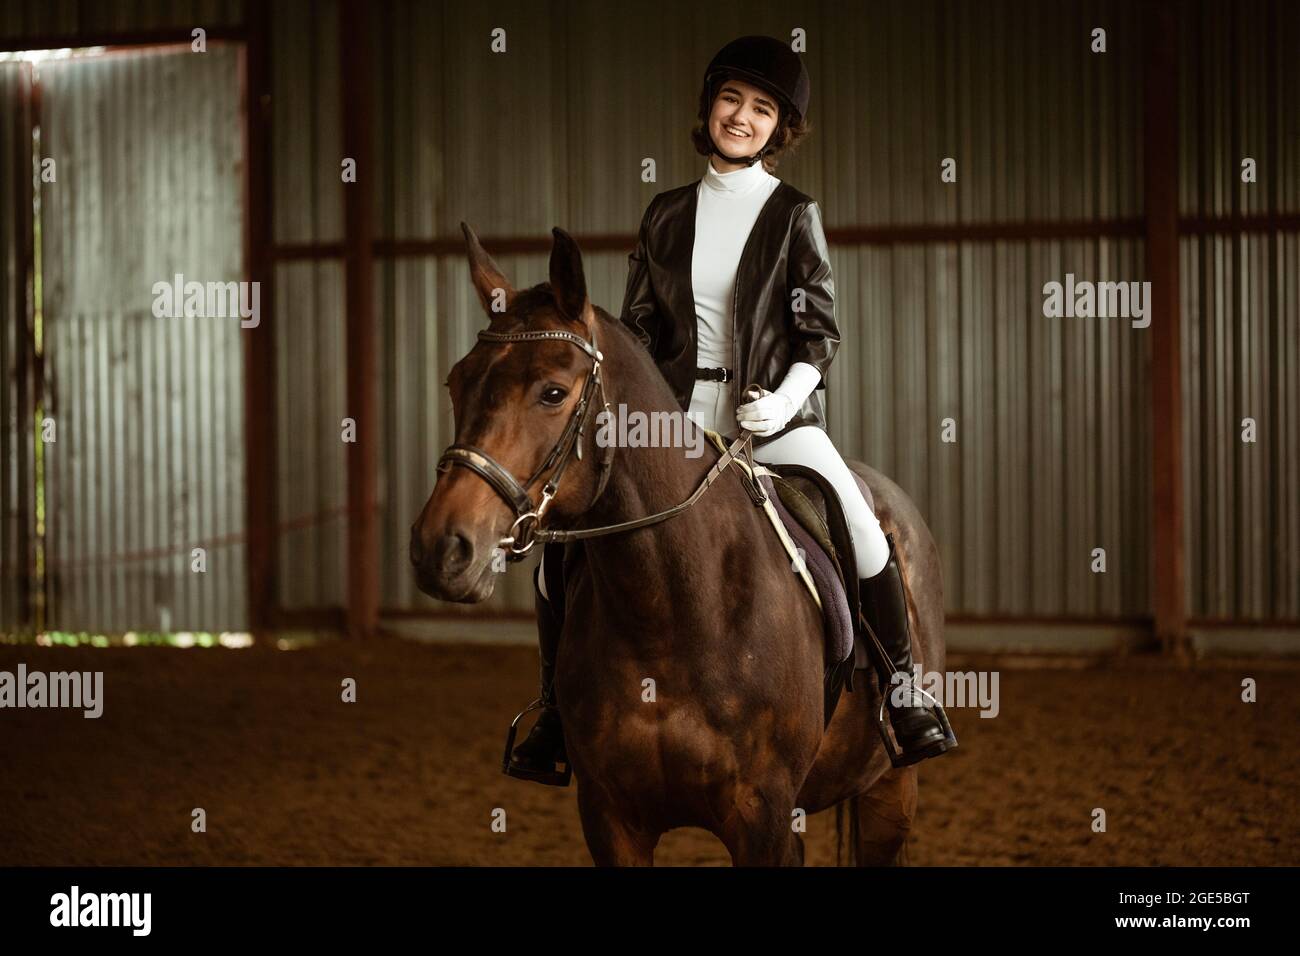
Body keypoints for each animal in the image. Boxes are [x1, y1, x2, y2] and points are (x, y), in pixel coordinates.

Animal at [410, 223, 947, 866]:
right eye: (455, 382)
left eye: (553, 392)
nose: (440, 550)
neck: (669, 610)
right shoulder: (611, 819)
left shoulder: (763, 819)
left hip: (891, 791)